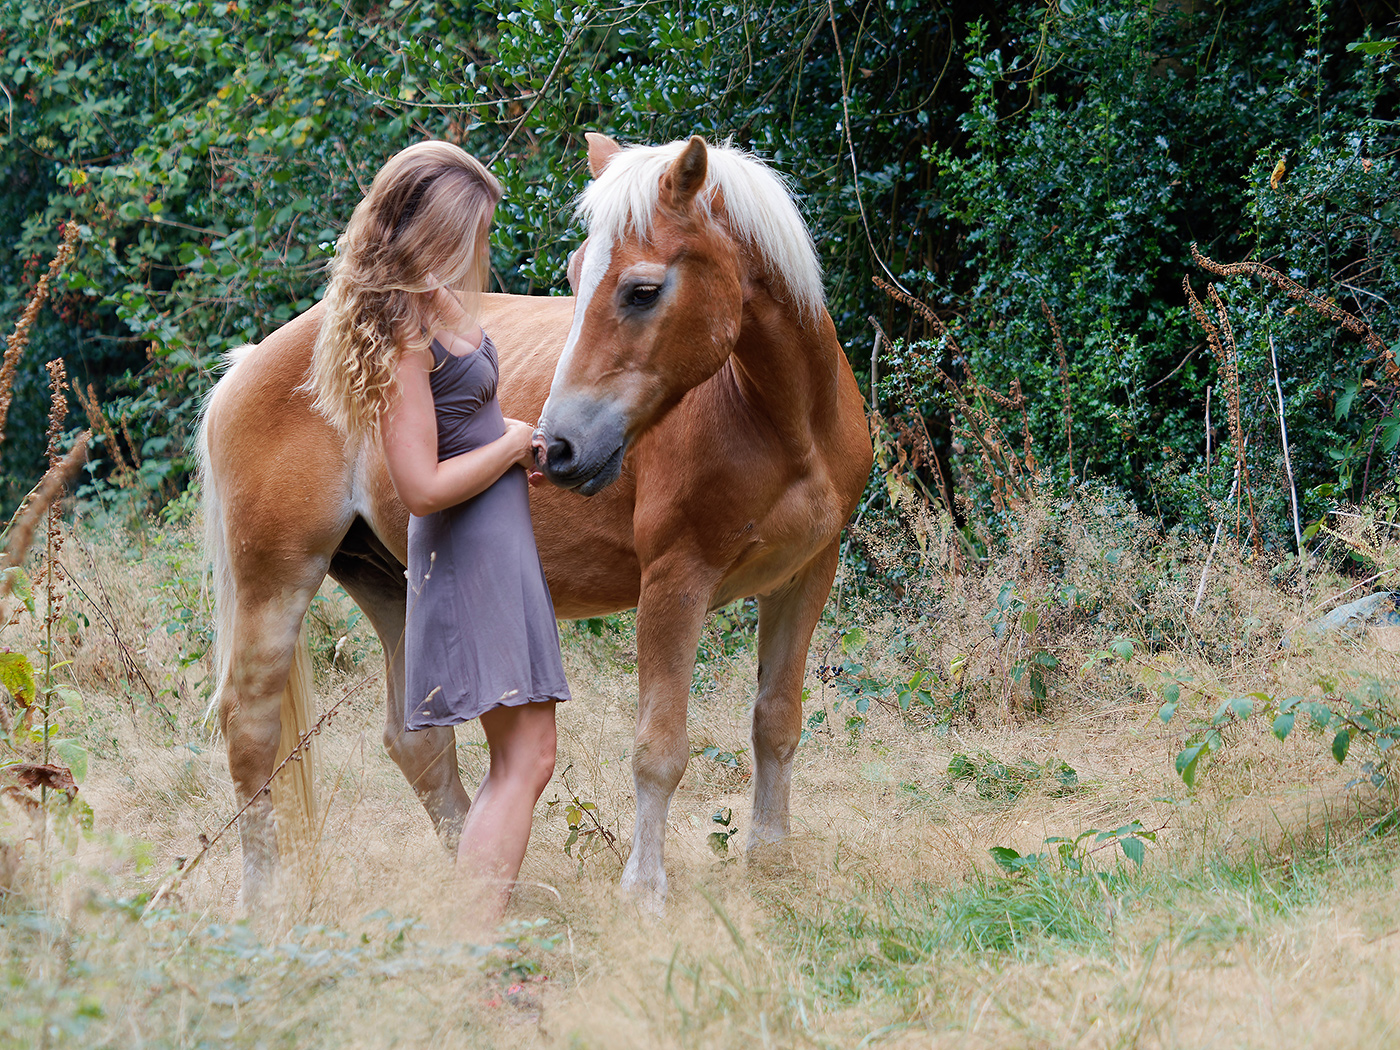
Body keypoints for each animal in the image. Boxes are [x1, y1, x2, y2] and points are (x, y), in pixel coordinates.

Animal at [201, 129, 868, 907]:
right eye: (578, 274)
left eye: (643, 290)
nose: (559, 446)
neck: (780, 421)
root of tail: (258, 359)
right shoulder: (675, 583)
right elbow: (660, 749)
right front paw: (644, 891)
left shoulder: (804, 577)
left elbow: (776, 722)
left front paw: (770, 860)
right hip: (276, 582)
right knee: (249, 729)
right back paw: (264, 899)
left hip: (389, 582)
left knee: (416, 741)